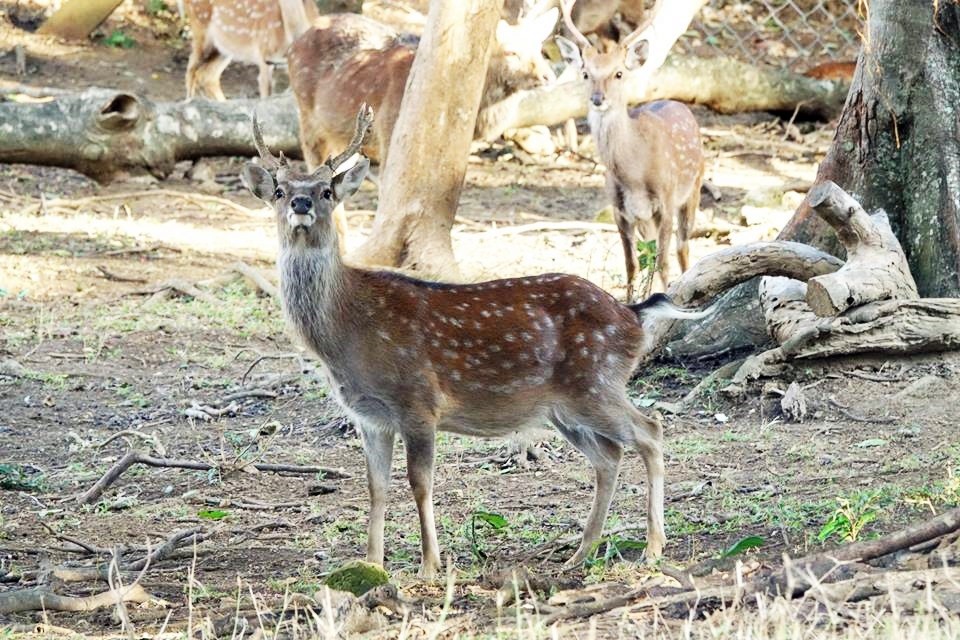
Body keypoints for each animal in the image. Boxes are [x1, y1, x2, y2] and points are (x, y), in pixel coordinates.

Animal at [240, 106, 712, 580]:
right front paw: (371, 563)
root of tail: (633, 316)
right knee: (609, 455)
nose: (300, 204)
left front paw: (430, 566)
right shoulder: (369, 417)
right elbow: (376, 488)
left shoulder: (418, 401)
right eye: (279, 191)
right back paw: (582, 552)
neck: (346, 332)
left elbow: (420, 484)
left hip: (594, 382)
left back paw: (653, 547)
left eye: (325, 191)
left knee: (650, 431)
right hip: (565, 406)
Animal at [556, 0, 704, 302]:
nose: (598, 99)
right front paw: (630, 303)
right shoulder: (620, 211)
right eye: (586, 73)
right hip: (646, 217)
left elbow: (662, 262)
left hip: (693, 186)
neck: (635, 174)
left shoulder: (666, 202)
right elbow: (632, 264)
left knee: (682, 247)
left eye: (619, 73)